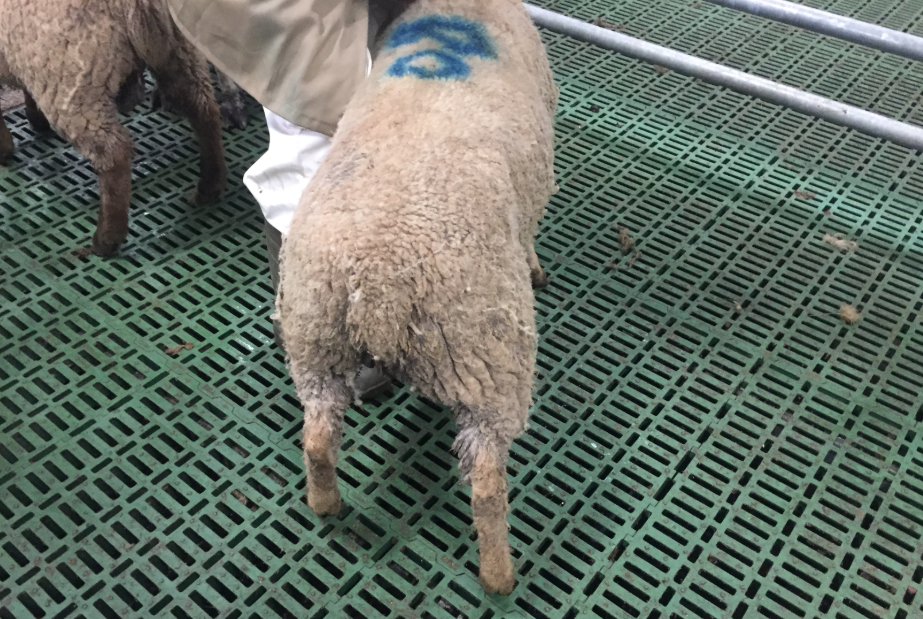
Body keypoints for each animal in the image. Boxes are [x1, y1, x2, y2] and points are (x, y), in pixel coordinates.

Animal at [0, 0, 227, 257]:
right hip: (180, 49)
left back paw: (105, 241)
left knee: (113, 154)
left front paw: (4, 148)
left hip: (71, 79)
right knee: (203, 109)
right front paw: (34, 120)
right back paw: (209, 186)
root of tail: (137, 3)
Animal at [278, 0, 557, 595]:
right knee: (486, 484)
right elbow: (528, 241)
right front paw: (536, 268)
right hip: (489, 361)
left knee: (316, 436)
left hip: (314, 339)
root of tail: (377, 283)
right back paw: (499, 576)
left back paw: (325, 504)